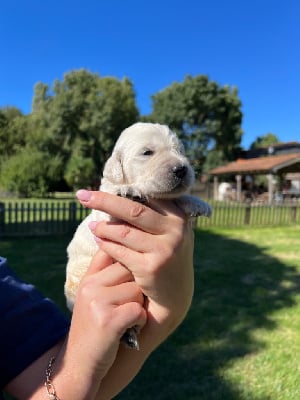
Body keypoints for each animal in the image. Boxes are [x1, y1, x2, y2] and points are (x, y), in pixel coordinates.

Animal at [65, 123, 211, 348]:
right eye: (147, 152)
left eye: (180, 151)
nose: (181, 169)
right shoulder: (106, 214)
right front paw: (129, 191)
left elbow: (176, 197)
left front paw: (198, 203)